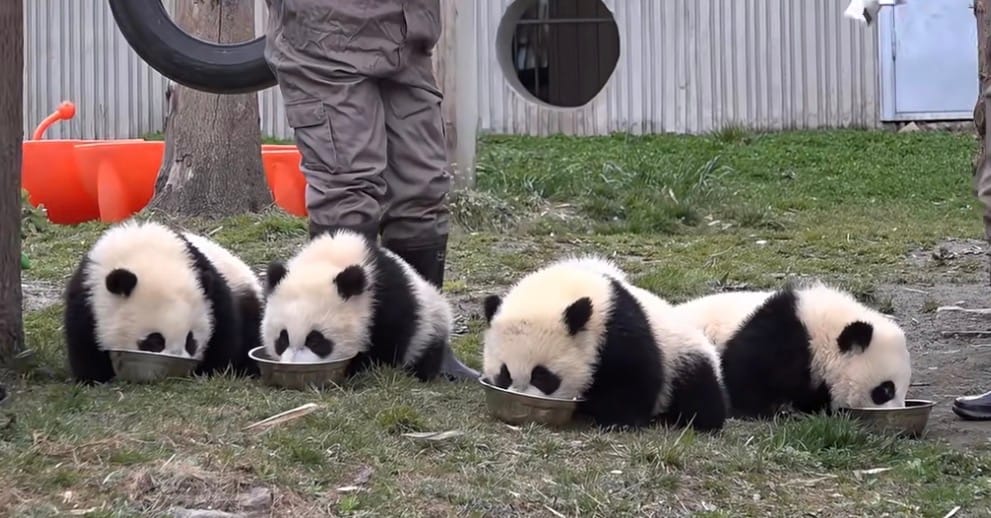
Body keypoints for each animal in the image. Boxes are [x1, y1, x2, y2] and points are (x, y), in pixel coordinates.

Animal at [63, 220, 263, 384]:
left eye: (190, 340)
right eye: (155, 341)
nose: (176, 362)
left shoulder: (208, 282)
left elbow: (225, 331)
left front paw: (212, 370)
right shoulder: (88, 290)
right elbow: (83, 340)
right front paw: (94, 377)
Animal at [261, 228, 473, 382]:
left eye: (315, 341)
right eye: (282, 339)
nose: (294, 365)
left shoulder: (388, 297)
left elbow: (390, 338)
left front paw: (363, 367)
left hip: (431, 323)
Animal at [481, 256, 727, 432]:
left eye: (542, 376)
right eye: (504, 374)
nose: (523, 399)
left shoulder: (617, 326)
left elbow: (634, 374)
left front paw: (619, 420)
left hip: (682, 355)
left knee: (699, 394)